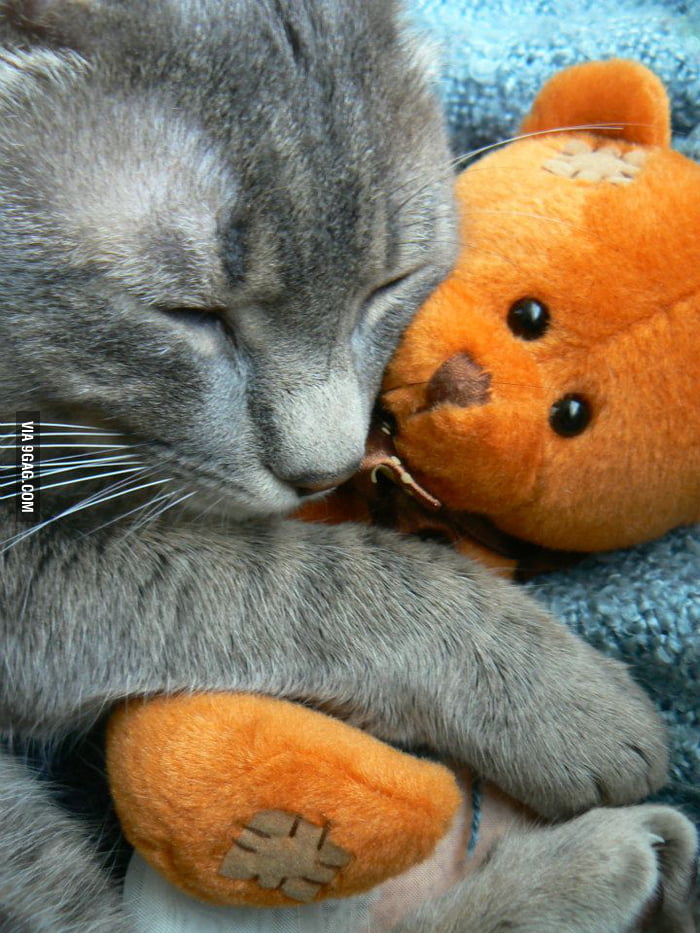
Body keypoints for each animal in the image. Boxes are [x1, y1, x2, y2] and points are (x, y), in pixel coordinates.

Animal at [0, 1, 696, 932]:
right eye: (191, 313)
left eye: (387, 284)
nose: (322, 468)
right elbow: (317, 576)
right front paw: (557, 688)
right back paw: (609, 856)